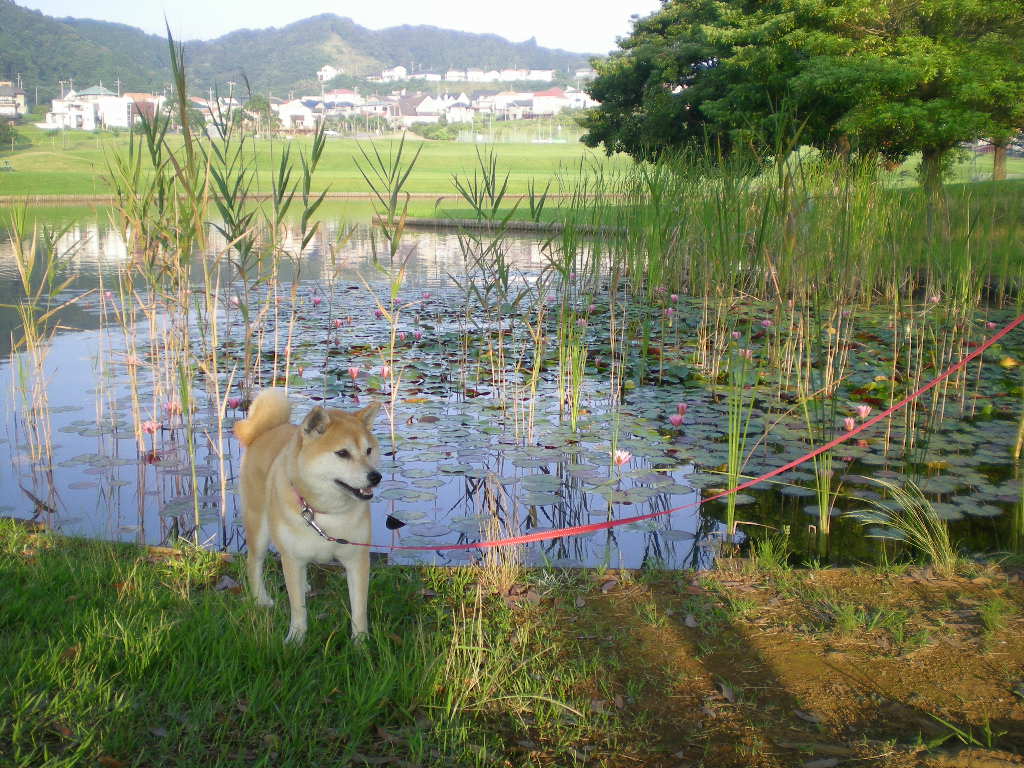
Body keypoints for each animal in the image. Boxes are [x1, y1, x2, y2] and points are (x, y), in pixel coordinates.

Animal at [234, 387, 382, 647]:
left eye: (368, 450)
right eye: (342, 453)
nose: (375, 476)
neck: (326, 513)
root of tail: (265, 431)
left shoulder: (357, 559)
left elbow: (359, 608)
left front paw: (360, 642)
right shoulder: (292, 558)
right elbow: (298, 608)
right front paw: (296, 637)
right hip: (259, 528)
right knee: (254, 563)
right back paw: (261, 599)